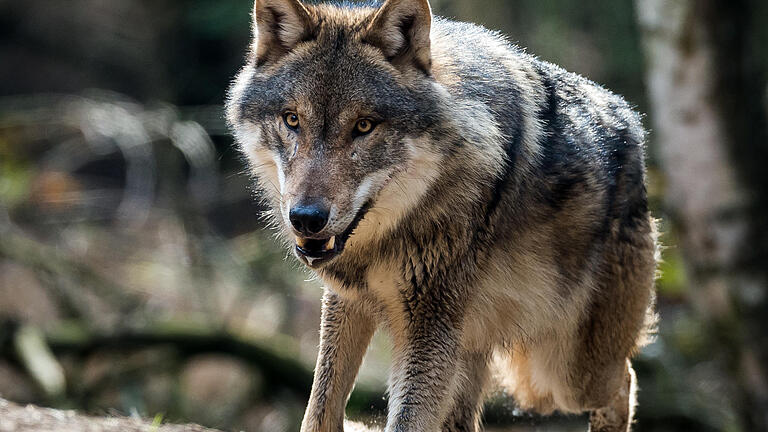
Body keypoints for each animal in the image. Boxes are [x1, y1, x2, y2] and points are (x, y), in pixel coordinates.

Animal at [225, 0, 656, 430]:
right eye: (292, 119)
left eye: (364, 126)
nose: (306, 217)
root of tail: (633, 123)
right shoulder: (347, 302)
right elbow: (319, 409)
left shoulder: (428, 326)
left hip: (563, 374)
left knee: (625, 381)